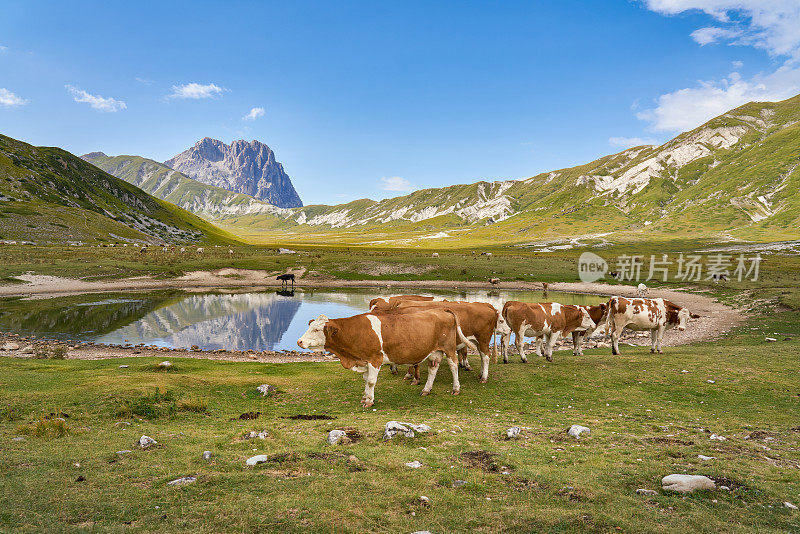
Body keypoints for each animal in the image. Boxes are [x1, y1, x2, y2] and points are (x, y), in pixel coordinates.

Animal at [298, 310, 476, 406]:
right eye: (310, 326)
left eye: (316, 330)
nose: (299, 341)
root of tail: (442, 310)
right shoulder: (364, 360)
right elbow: (365, 380)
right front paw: (365, 397)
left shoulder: (374, 358)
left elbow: (371, 381)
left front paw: (369, 401)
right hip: (434, 351)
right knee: (433, 368)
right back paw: (426, 390)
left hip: (449, 349)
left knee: (453, 366)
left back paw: (456, 388)